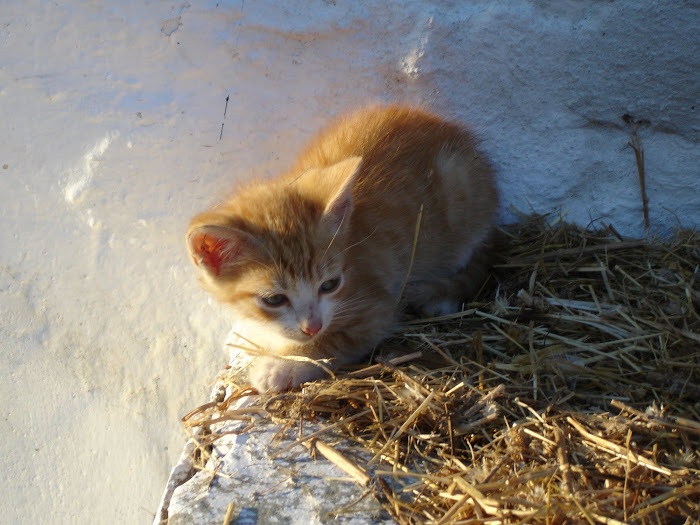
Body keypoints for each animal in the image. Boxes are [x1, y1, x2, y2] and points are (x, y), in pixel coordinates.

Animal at [187, 104, 498, 390]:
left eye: (330, 285)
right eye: (274, 300)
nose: (312, 326)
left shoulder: (376, 308)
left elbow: (332, 342)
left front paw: (281, 366)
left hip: (460, 190)